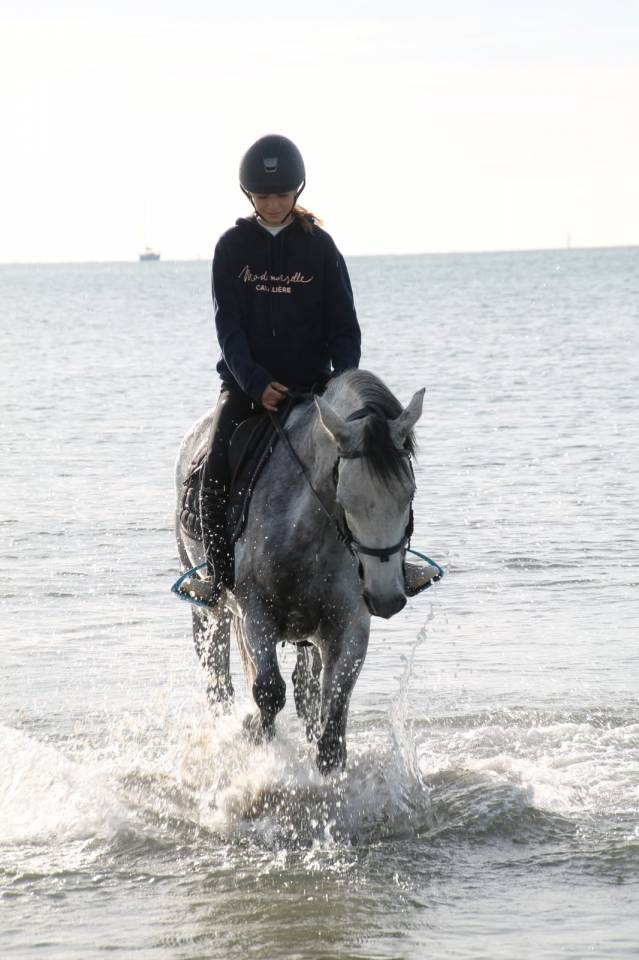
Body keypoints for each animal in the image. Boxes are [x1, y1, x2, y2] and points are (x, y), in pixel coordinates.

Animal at [174, 369, 424, 774]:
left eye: (409, 493)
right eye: (347, 497)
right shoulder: (256, 616)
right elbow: (268, 692)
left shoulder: (350, 624)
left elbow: (332, 715)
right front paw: (256, 739)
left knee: (305, 688)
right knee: (217, 672)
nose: (386, 597)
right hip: (210, 606)